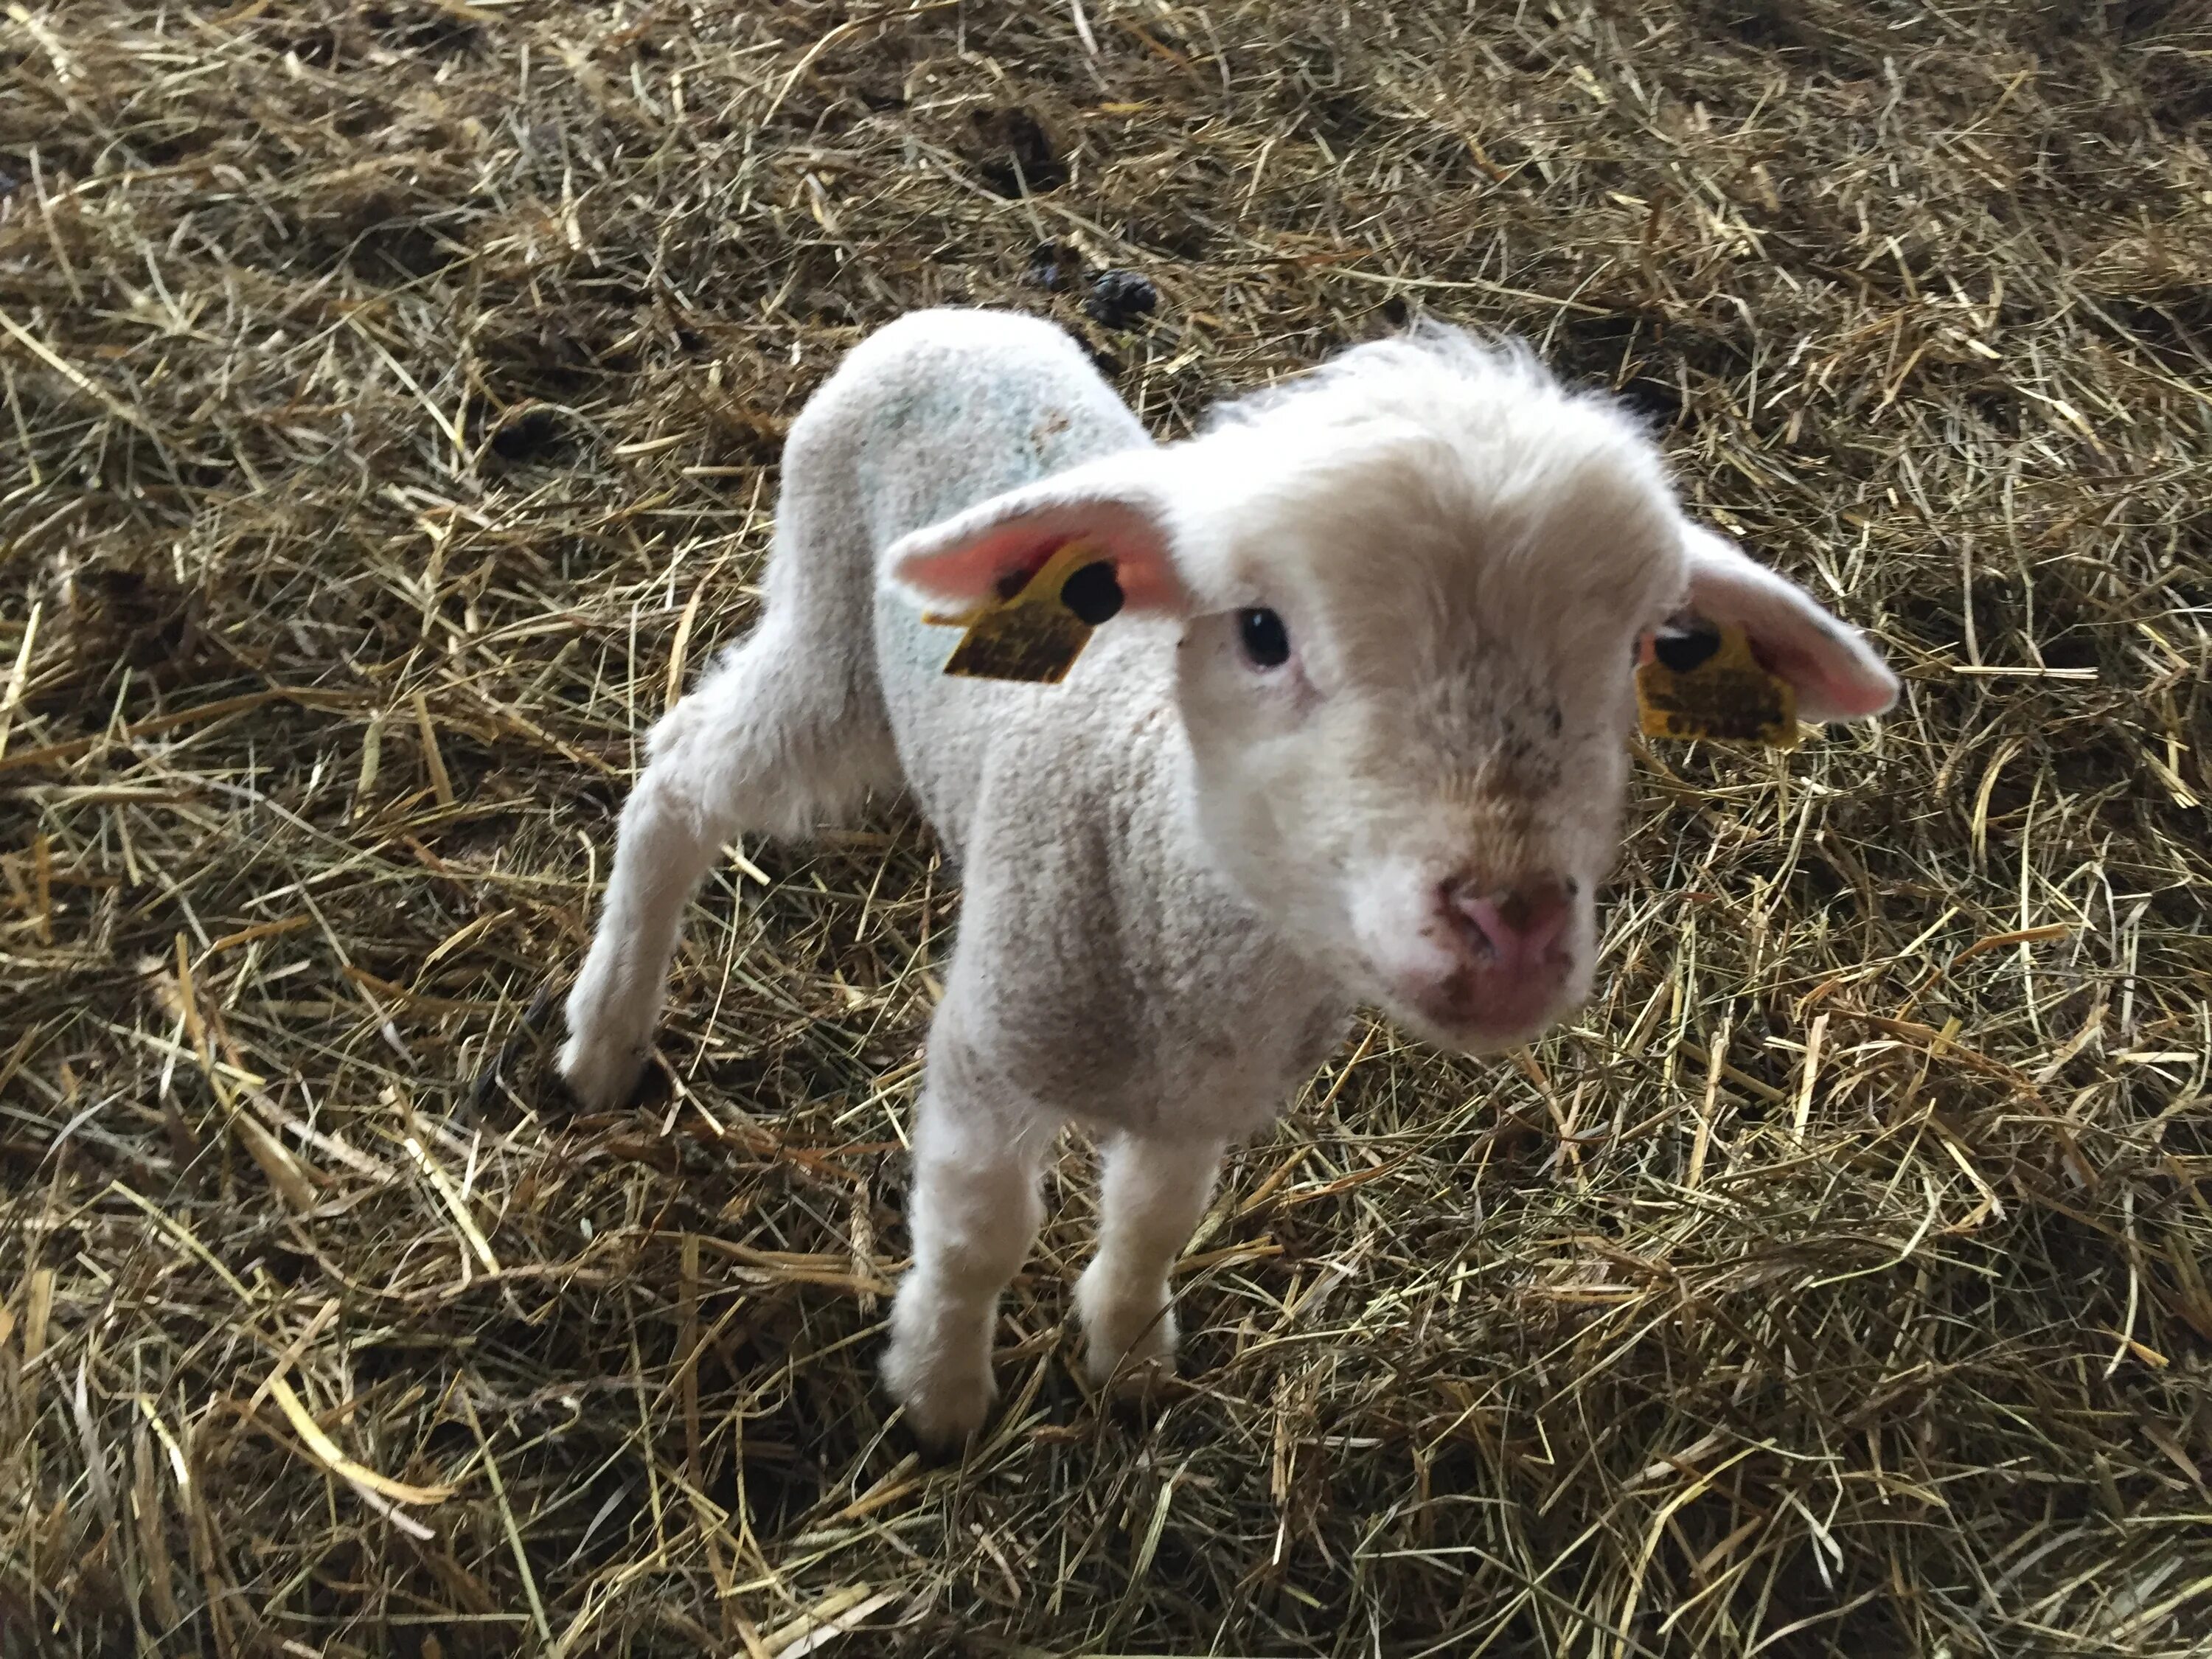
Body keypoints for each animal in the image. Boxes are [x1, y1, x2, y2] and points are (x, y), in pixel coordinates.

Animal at [557, 305, 1902, 1451]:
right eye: (1262, 631)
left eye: (1636, 654)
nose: (1508, 923)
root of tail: (958, 317)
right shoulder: (992, 1045)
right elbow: (979, 1233)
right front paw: (939, 1391)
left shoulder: (1209, 1093)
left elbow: (1157, 1218)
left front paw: (1130, 1356)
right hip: (830, 619)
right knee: (683, 772)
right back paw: (606, 1035)